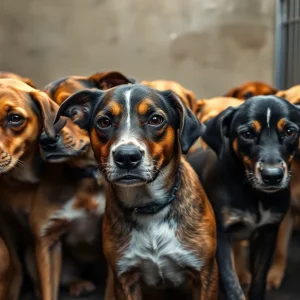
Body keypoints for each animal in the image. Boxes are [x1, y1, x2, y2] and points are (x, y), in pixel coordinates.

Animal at [54, 84, 218, 300]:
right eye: (104, 122)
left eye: (155, 119)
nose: (126, 156)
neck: (149, 207)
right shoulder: (125, 278)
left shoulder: (205, 275)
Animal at [186, 96, 300, 300]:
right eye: (246, 134)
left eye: (290, 131)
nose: (272, 176)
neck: (254, 194)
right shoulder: (221, 236)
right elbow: (231, 284)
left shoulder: (268, 233)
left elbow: (259, 279)